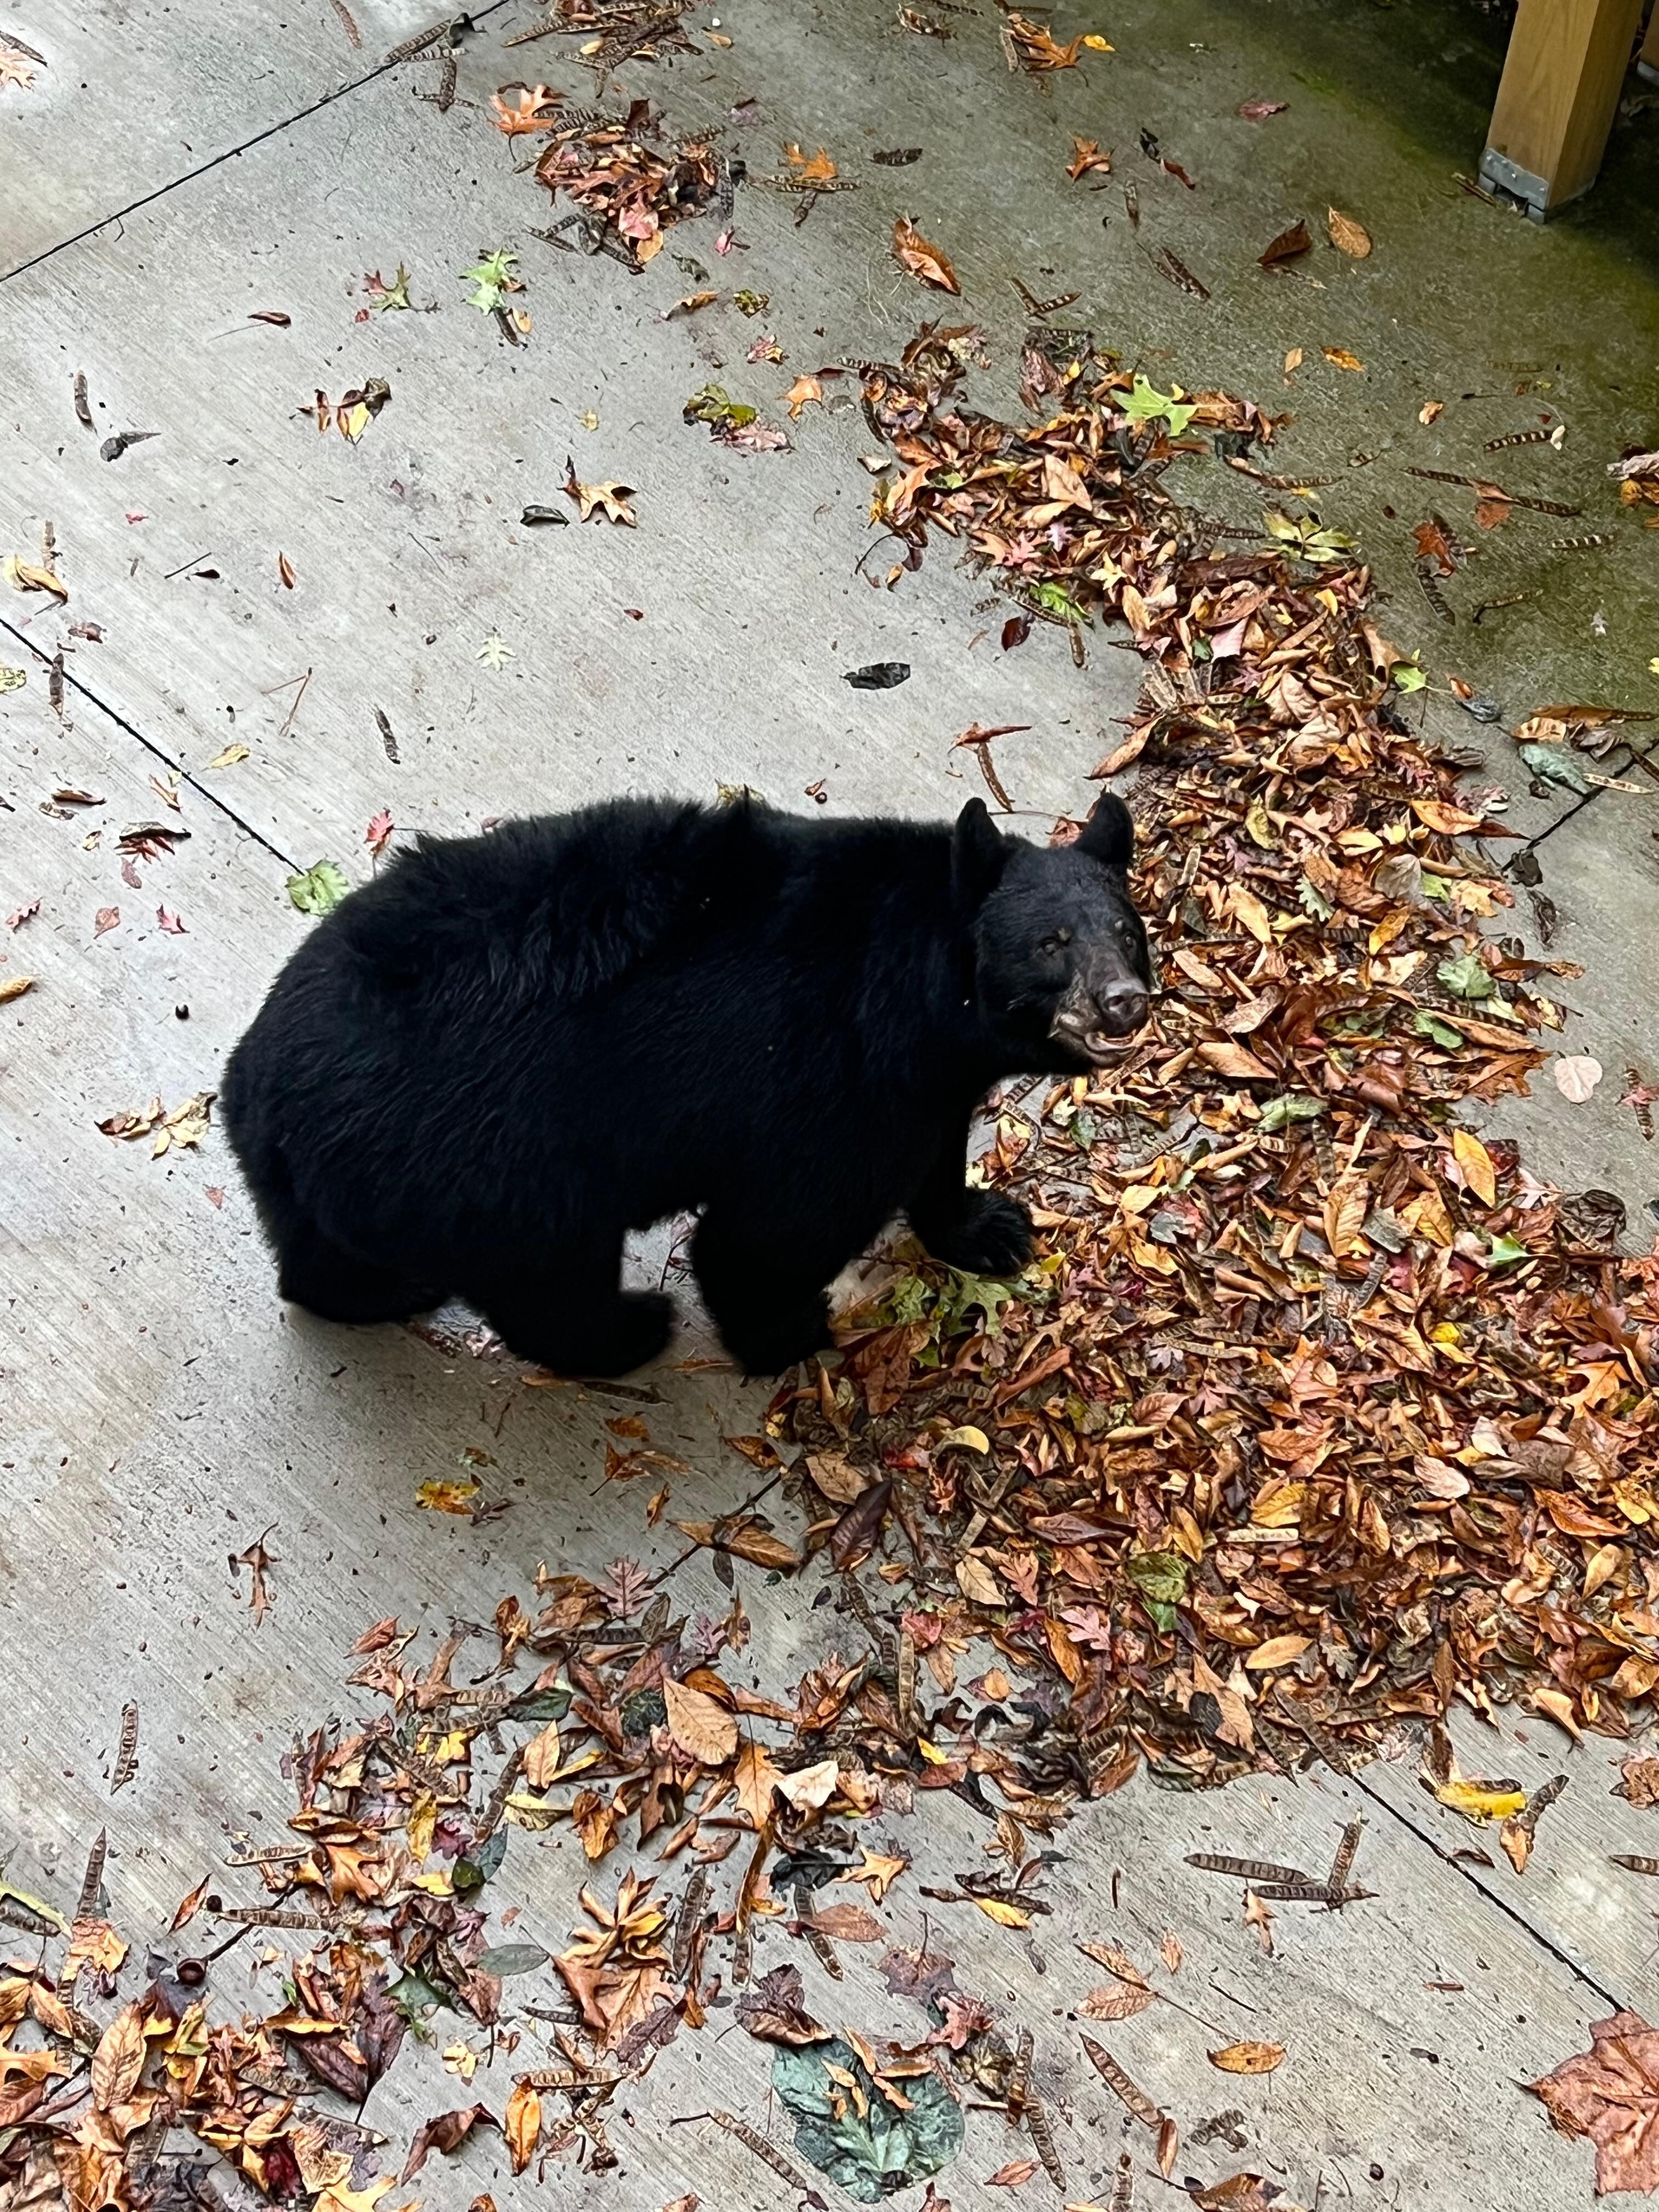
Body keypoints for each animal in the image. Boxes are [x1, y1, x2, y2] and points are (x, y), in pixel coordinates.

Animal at [221, 791, 1151, 1378]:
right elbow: (769, 1231)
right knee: (551, 1282)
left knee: (316, 1248)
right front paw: (787, 1333)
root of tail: (257, 1086)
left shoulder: (922, 1081)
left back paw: (369, 1289)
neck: (917, 995)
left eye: (1126, 930)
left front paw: (991, 1228)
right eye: (1051, 943)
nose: (1123, 1001)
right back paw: (629, 1330)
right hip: (500, 1171)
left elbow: (935, 1151)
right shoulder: (830, 1084)